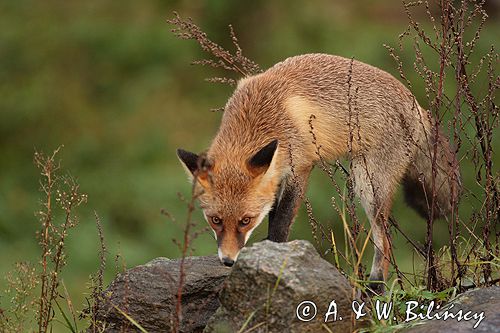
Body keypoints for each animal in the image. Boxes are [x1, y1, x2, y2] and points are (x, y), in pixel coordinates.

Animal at [179, 53, 460, 292]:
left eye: (246, 220)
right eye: (215, 220)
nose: (228, 261)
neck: (260, 118)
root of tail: (419, 108)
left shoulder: (300, 168)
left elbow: (281, 223)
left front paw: (272, 258)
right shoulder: (276, 178)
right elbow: (273, 215)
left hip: (368, 184)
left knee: (386, 240)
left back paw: (375, 288)